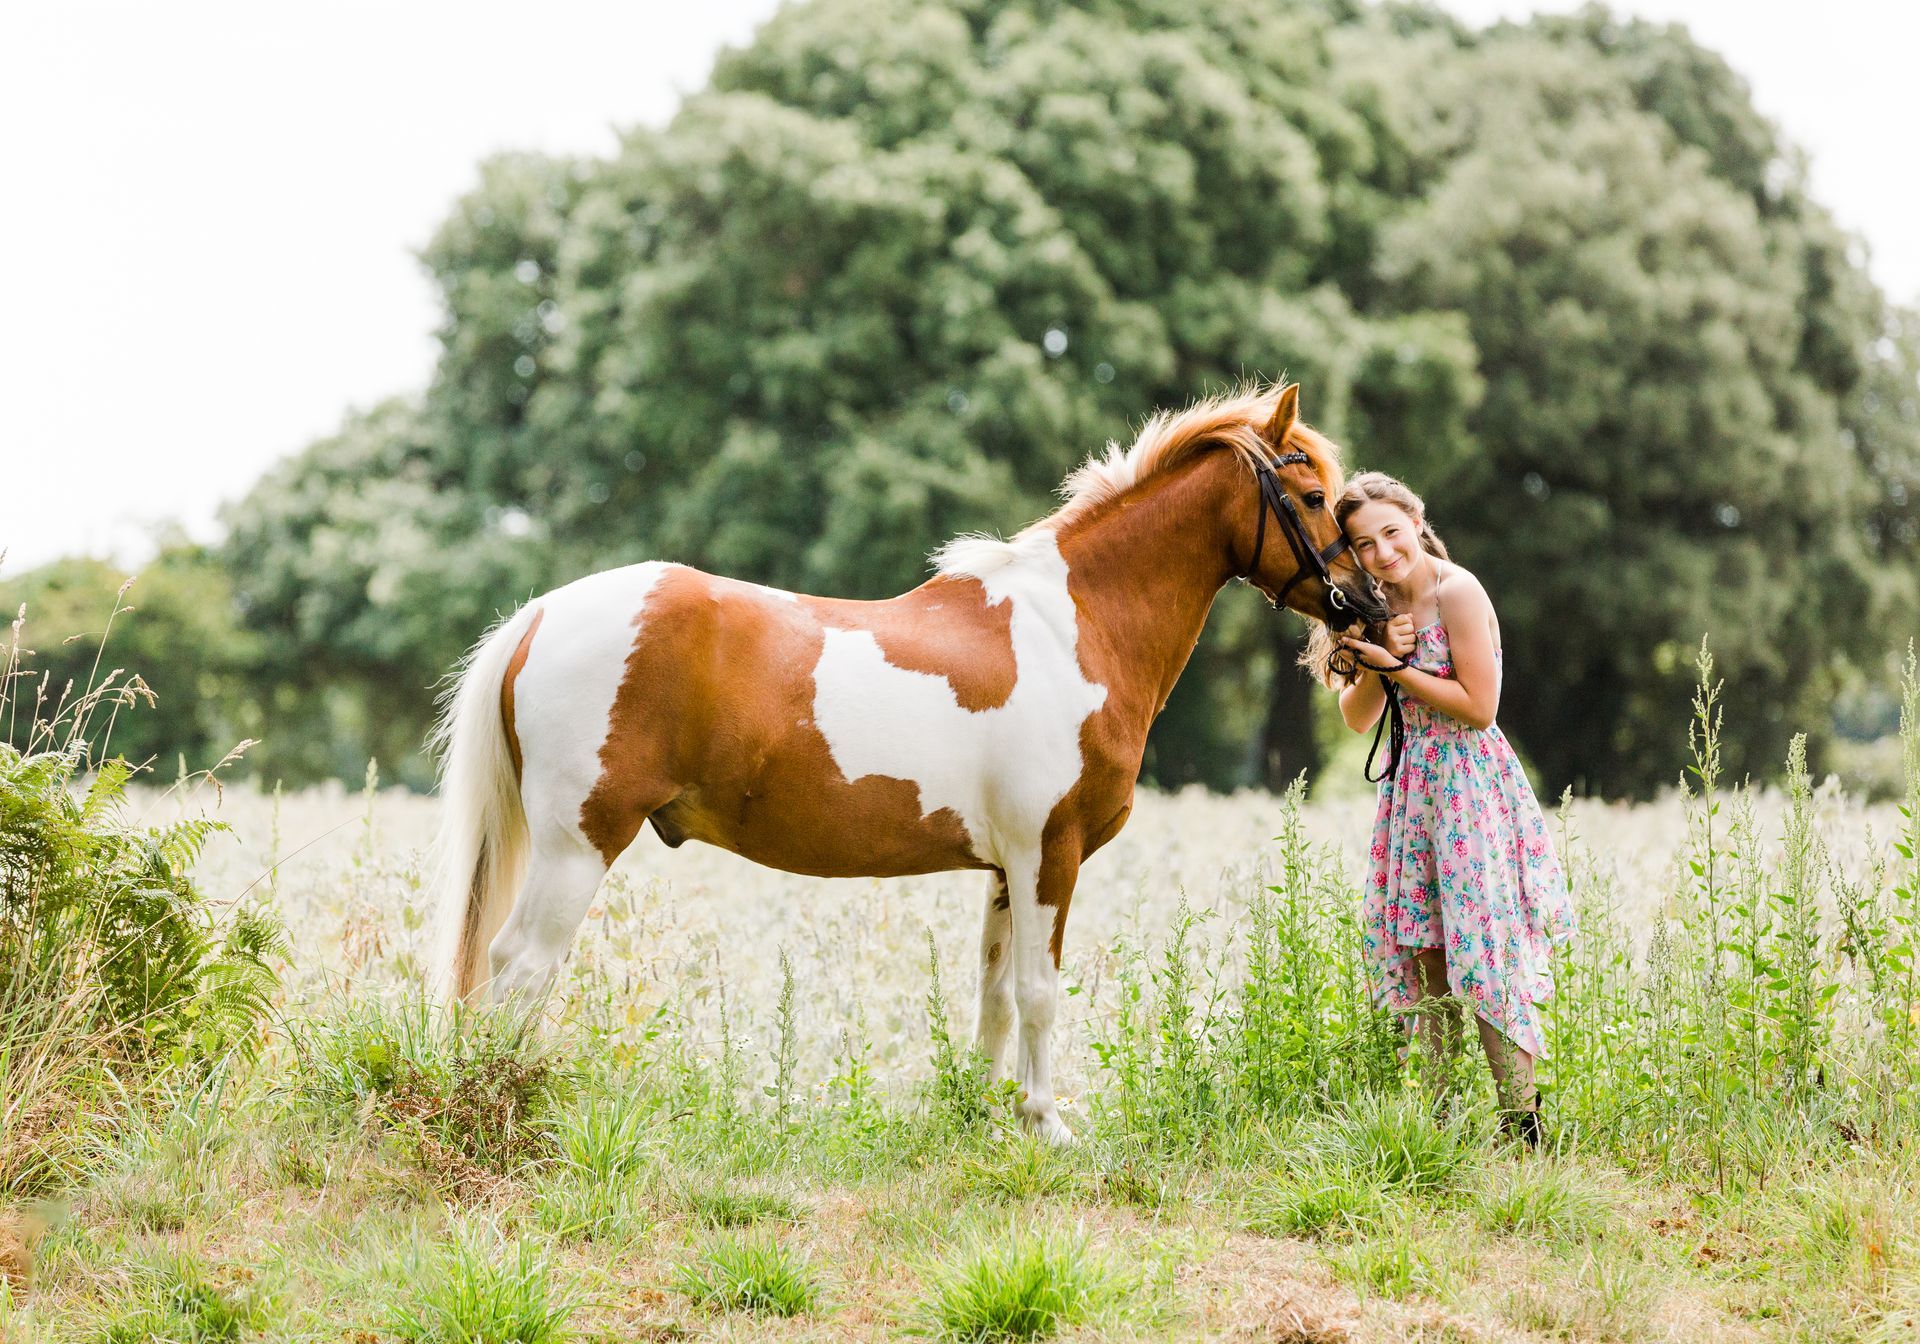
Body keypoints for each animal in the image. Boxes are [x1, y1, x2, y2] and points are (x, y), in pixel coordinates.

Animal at [428, 383, 1384, 1142]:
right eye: (1310, 493)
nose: (1370, 606)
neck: (1074, 627)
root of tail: (543, 614)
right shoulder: (1051, 855)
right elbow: (1039, 991)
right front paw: (1051, 1126)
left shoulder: (1005, 868)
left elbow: (995, 997)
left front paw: (991, 1118)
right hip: (577, 845)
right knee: (520, 966)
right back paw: (505, 1109)